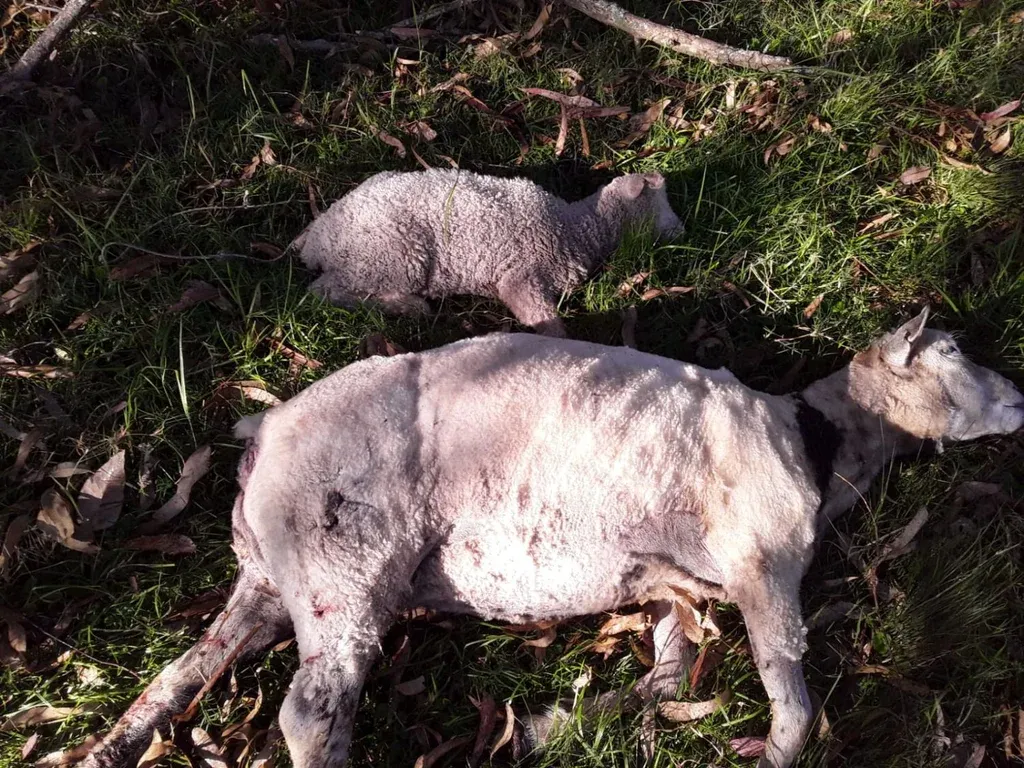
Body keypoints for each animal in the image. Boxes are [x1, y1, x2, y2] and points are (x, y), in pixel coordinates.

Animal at [81, 307, 1023, 768]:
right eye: (949, 354)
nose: (1019, 399)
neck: (818, 440)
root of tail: (264, 434)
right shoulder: (763, 564)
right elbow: (791, 700)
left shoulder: (675, 590)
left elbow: (664, 677)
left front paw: (555, 730)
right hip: (343, 563)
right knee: (311, 711)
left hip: (273, 576)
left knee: (187, 668)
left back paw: (110, 747)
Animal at [293, 168, 683, 337]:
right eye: (660, 204)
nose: (682, 231)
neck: (578, 228)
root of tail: (318, 237)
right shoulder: (522, 276)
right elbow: (547, 322)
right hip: (389, 255)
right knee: (322, 292)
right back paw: (410, 306)